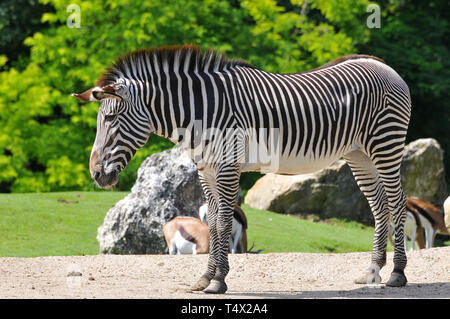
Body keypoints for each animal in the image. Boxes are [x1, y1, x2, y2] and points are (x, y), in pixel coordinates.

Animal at [73, 45, 412, 296]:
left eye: (111, 119)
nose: (97, 174)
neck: (199, 112)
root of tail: (384, 66)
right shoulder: (205, 170)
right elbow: (211, 224)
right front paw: (204, 278)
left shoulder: (226, 167)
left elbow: (224, 223)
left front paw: (218, 281)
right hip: (359, 155)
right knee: (380, 206)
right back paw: (372, 271)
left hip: (386, 145)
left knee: (398, 203)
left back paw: (397, 273)